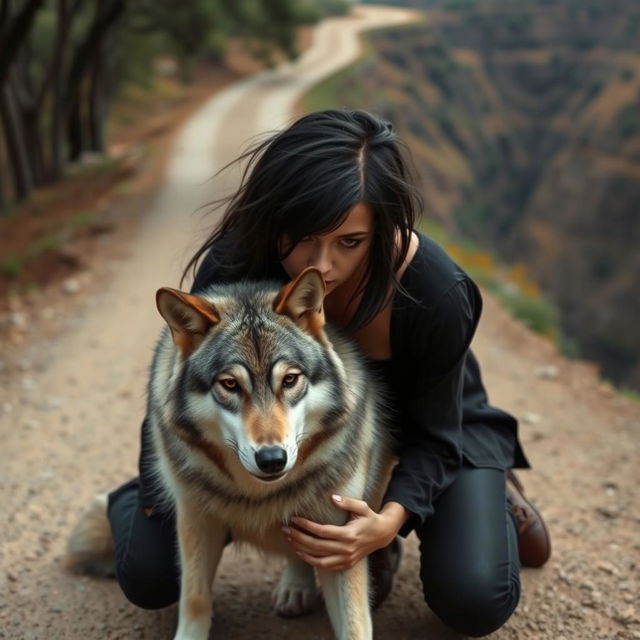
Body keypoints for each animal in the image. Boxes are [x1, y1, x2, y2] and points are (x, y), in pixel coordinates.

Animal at [67, 268, 392, 636]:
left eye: (290, 380)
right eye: (230, 384)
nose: (272, 460)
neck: (259, 496)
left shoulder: (340, 540)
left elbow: (355, 624)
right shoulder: (195, 520)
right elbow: (195, 599)